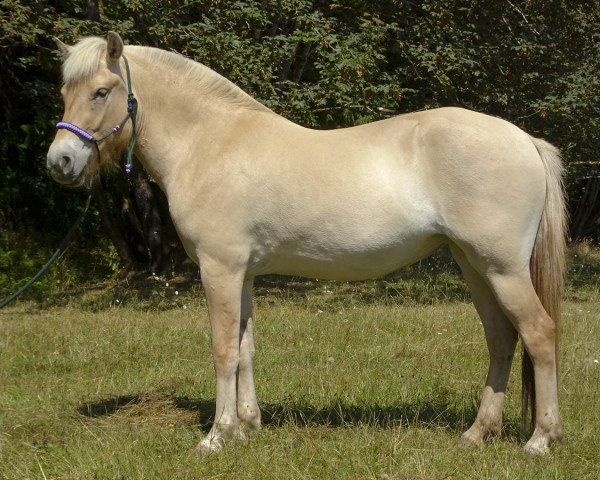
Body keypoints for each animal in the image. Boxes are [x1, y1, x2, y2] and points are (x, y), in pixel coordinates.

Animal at [48, 31, 568, 456]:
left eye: (101, 91)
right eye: (64, 92)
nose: (60, 161)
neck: (210, 144)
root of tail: (525, 140)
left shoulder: (218, 269)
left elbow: (223, 349)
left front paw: (216, 436)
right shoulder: (243, 274)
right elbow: (245, 348)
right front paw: (247, 427)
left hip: (502, 269)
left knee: (539, 334)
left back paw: (540, 439)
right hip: (473, 266)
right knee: (501, 339)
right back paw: (477, 434)